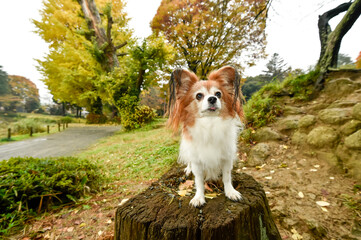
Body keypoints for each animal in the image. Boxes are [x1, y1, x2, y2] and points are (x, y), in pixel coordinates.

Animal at [167, 66, 243, 208]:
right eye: (199, 96)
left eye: (218, 94)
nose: (212, 98)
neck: (210, 123)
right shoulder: (197, 161)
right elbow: (199, 181)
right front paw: (199, 197)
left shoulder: (226, 157)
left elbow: (227, 177)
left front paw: (230, 192)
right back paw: (188, 169)